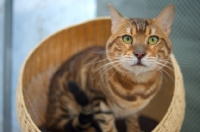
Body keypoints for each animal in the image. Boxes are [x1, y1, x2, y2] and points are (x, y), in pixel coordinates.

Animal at [45, 3, 175, 131]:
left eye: (153, 39)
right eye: (127, 38)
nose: (139, 54)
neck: (137, 87)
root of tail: (49, 117)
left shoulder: (135, 111)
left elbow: (133, 120)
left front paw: (135, 128)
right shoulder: (98, 99)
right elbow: (107, 125)